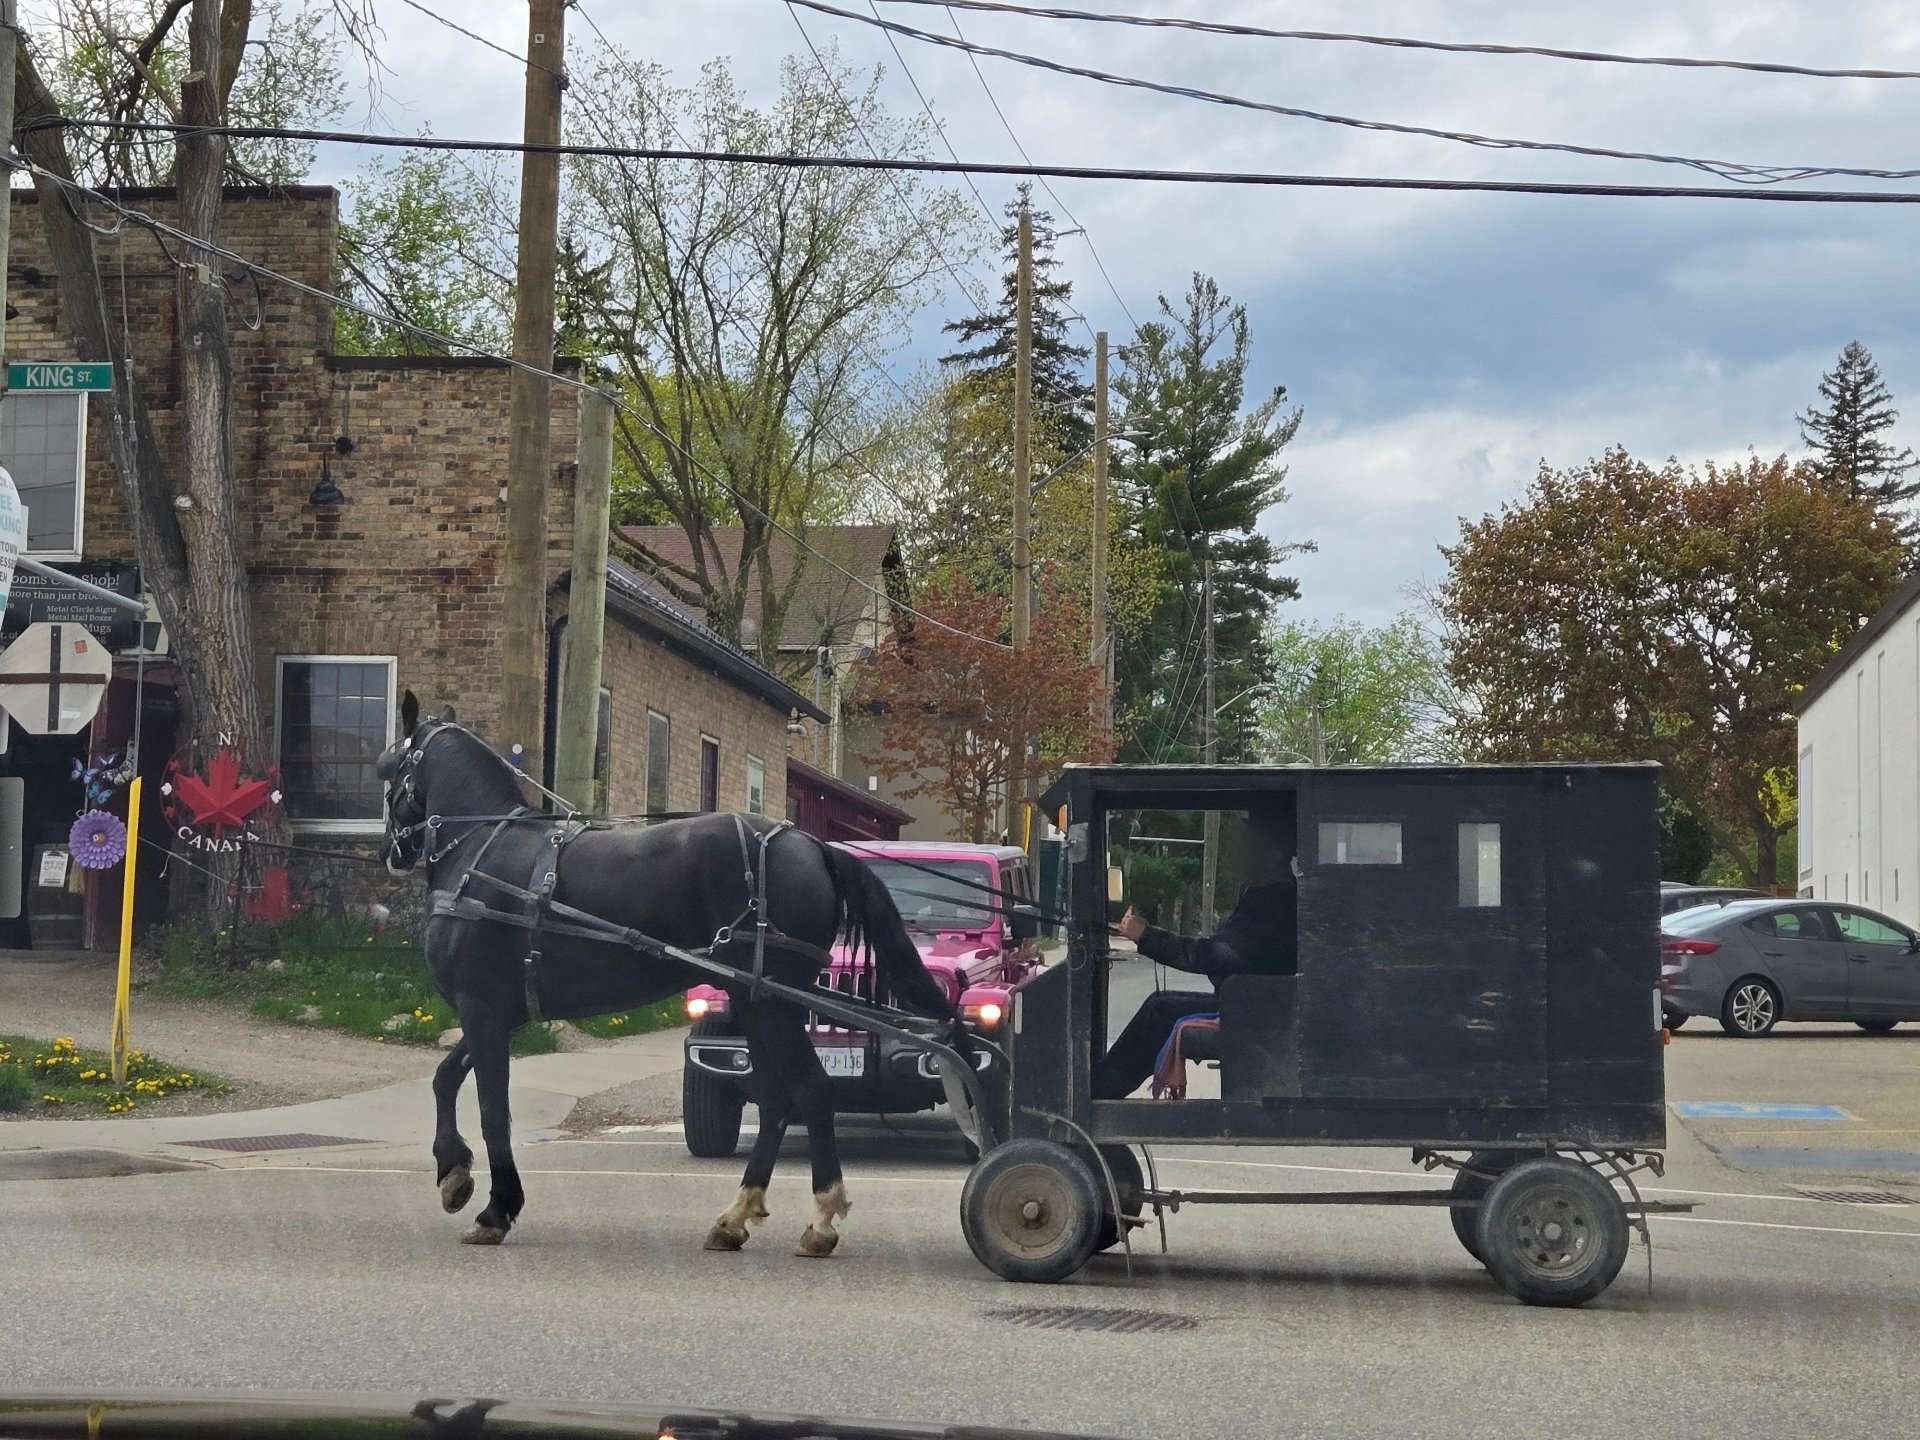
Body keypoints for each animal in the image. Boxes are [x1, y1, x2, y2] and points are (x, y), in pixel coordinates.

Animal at [378, 695, 960, 1259]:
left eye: (387, 767)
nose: (391, 852)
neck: (481, 850)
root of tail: (812, 845)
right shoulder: (502, 1013)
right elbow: (445, 1077)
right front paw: (454, 1172)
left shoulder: (481, 1007)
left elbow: (492, 1110)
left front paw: (495, 1209)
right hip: (755, 1001)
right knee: (776, 1100)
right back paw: (736, 1216)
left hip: (772, 1004)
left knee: (811, 1090)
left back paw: (820, 1219)